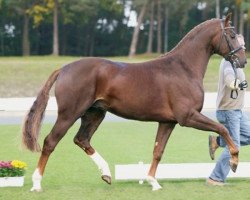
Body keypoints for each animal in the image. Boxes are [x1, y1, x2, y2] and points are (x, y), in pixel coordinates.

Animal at [23, 13, 246, 191]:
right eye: (232, 35)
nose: (243, 61)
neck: (183, 68)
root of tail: (64, 69)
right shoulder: (188, 116)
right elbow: (222, 129)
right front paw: (235, 160)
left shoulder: (168, 122)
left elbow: (158, 151)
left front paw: (153, 182)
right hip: (69, 113)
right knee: (50, 141)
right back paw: (36, 183)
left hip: (95, 113)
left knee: (82, 139)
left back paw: (106, 174)